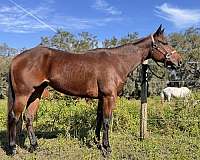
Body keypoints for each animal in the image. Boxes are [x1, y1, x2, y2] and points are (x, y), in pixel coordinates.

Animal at [7, 25, 182, 155]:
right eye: (164, 42)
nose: (179, 61)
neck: (117, 61)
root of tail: (16, 58)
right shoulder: (109, 96)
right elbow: (106, 121)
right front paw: (107, 148)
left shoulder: (101, 97)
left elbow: (98, 119)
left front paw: (98, 142)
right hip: (23, 94)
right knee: (14, 117)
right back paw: (13, 148)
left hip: (36, 93)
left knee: (28, 117)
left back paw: (35, 146)